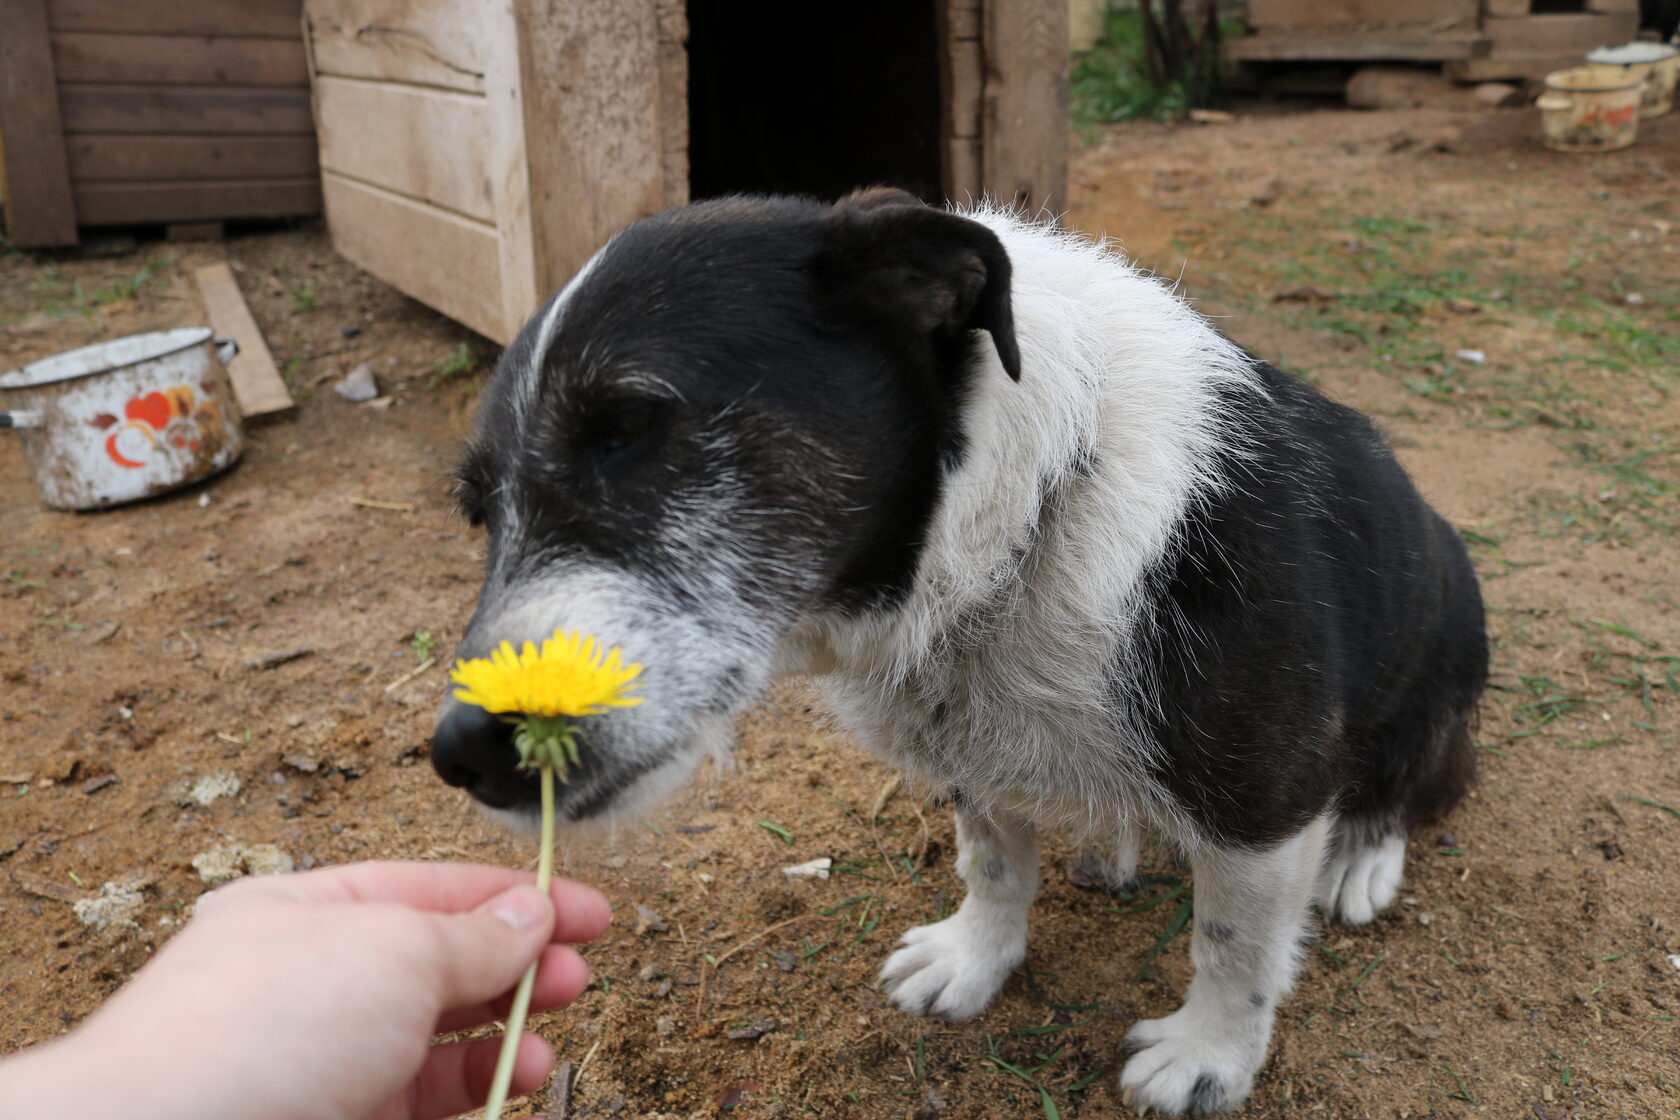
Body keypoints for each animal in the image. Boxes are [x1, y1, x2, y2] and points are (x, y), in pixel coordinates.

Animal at [433, 190, 1485, 1114]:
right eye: (477, 509)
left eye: (631, 425)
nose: (465, 751)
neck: (1022, 521)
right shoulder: (970, 747)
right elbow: (992, 864)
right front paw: (976, 961)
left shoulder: (1265, 799)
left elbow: (1234, 946)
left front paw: (1208, 1057)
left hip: (1435, 692)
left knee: (1417, 782)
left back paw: (1359, 859)